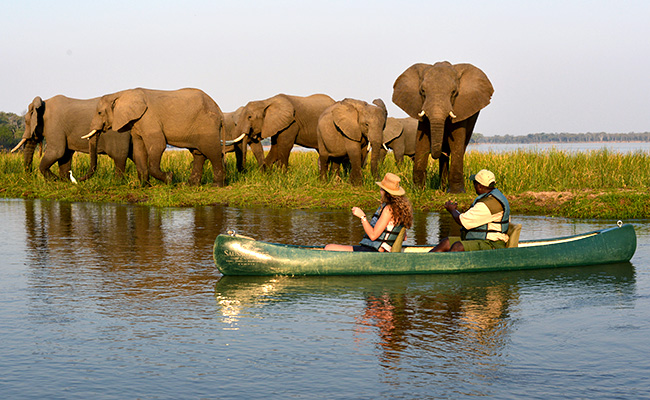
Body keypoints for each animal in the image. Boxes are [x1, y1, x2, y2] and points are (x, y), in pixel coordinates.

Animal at [84, 87, 225, 186]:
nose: (80, 180)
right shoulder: (137, 123)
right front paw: (143, 186)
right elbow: (139, 150)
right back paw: (190, 185)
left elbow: (158, 145)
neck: (122, 93)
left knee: (212, 152)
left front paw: (169, 178)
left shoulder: (148, 118)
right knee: (198, 153)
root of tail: (219, 109)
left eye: (99, 112)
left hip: (207, 124)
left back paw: (217, 185)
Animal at [390, 61, 492, 193]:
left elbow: (457, 143)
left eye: (454, 92)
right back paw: (442, 188)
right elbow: (422, 142)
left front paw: (457, 192)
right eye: (422, 91)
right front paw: (418, 190)